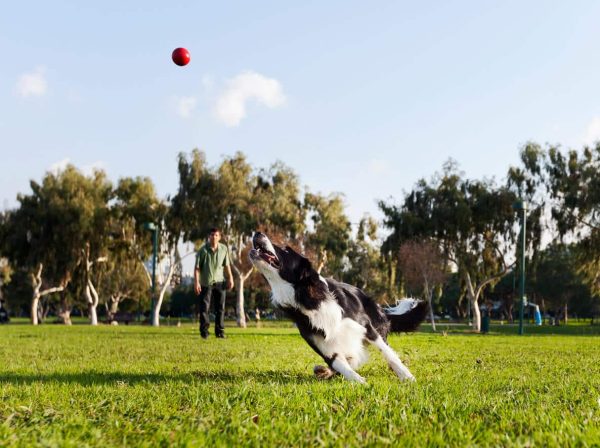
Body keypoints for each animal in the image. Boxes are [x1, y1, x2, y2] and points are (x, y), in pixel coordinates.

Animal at [248, 233, 426, 384]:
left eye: (286, 250)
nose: (257, 233)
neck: (310, 299)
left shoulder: (366, 327)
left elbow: (388, 353)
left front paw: (406, 376)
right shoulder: (323, 345)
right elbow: (342, 366)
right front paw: (360, 383)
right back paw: (324, 371)